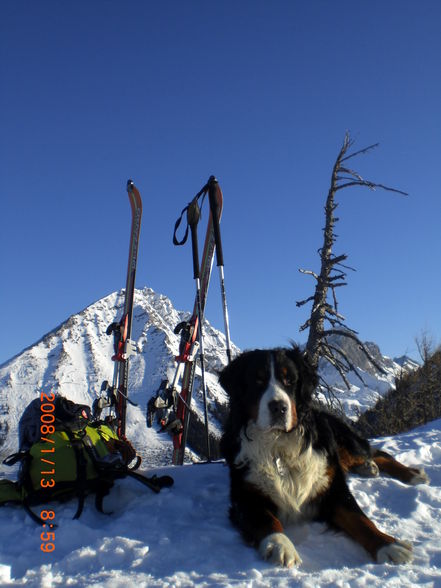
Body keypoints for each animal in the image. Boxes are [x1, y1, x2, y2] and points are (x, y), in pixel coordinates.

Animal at [218, 346, 428, 568]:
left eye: (290, 380)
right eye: (258, 380)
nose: (279, 407)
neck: (278, 445)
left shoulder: (333, 489)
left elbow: (361, 519)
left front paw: (389, 545)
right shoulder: (246, 497)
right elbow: (268, 521)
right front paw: (281, 546)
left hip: (345, 441)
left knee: (377, 453)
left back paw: (410, 474)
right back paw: (369, 468)